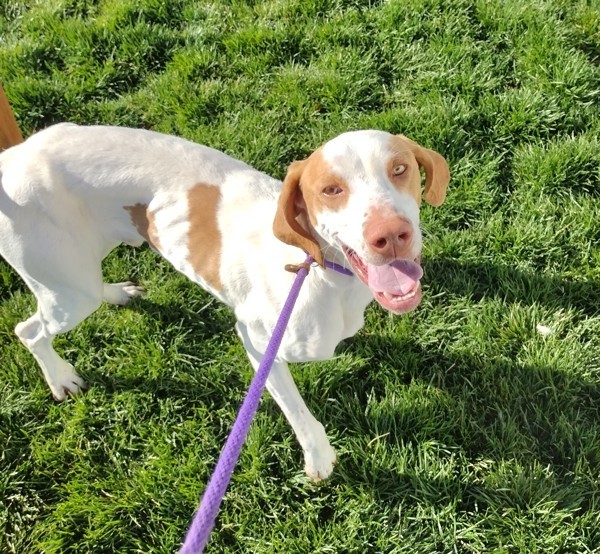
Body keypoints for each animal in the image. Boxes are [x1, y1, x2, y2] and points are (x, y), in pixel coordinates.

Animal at [0, 123, 448, 476]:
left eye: (400, 169)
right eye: (331, 190)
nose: (390, 235)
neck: (318, 270)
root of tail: (12, 159)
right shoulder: (257, 343)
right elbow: (299, 412)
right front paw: (319, 458)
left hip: (81, 276)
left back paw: (117, 294)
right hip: (67, 290)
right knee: (30, 329)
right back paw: (61, 378)